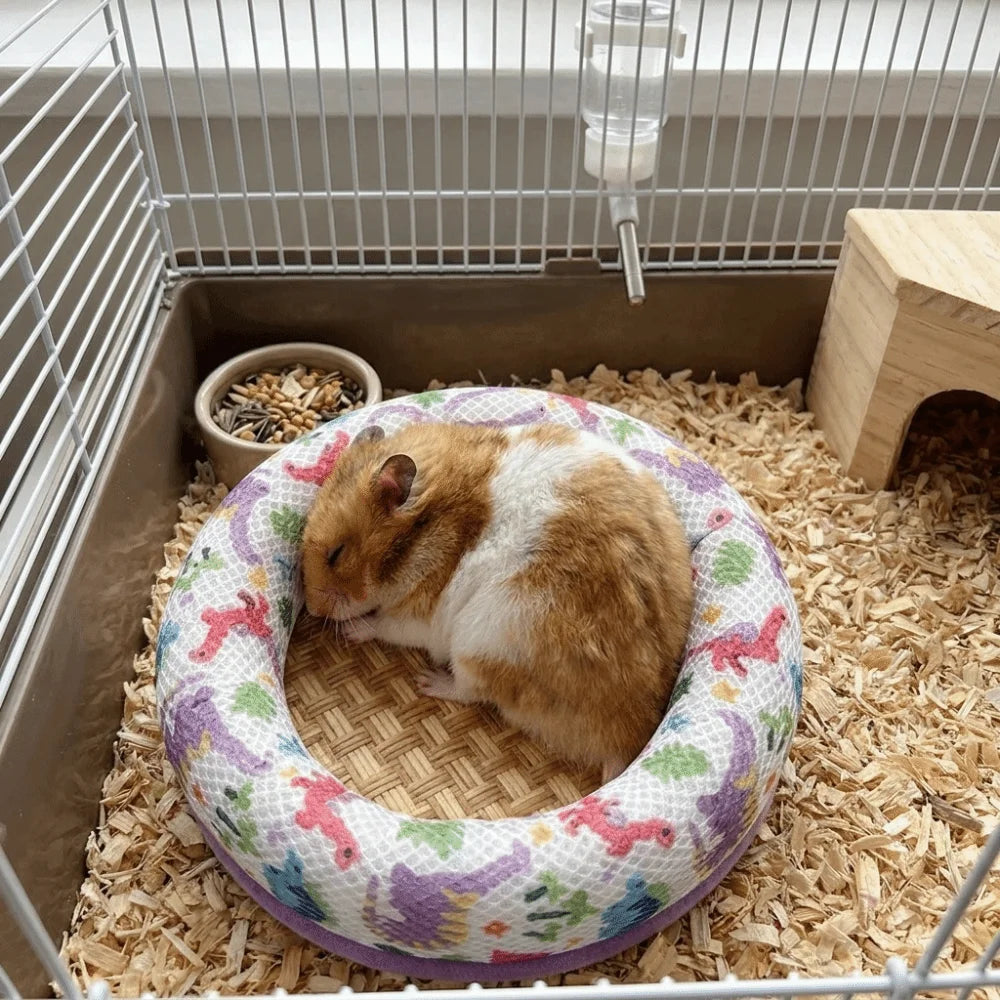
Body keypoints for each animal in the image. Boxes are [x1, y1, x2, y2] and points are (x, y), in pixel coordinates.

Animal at [301, 420, 694, 783]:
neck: (422, 527)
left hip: (478, 646)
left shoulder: (418, 617)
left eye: (336, 554)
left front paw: (351, 630)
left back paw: (427, 681)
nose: (312, 610)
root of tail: (625, 733)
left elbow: (383, 624)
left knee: (469, 691)